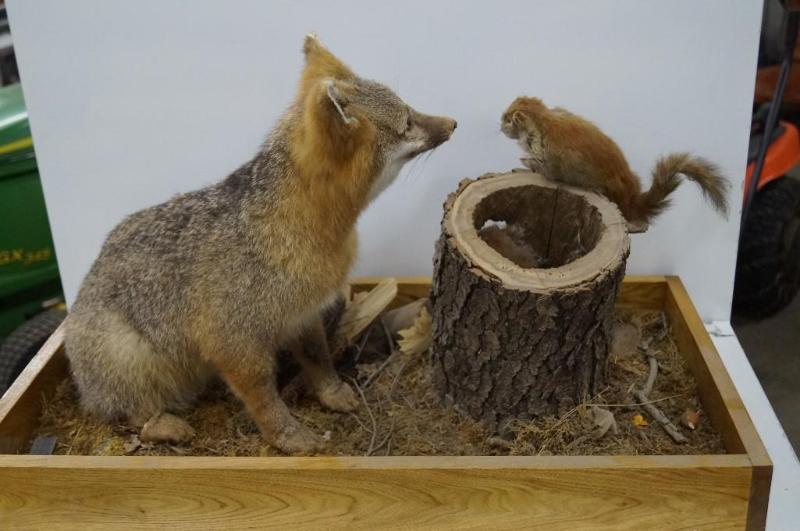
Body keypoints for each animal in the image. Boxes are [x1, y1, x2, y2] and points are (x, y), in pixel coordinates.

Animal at [64, 34, 456, 454]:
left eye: (410, 108)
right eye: (408, 122)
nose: (453, 123)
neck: (301, 232)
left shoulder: (305, 314)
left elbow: (318, 358)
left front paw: (332, 394)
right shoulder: (234, 343)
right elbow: (265, 400)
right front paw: (291, 437)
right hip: (132, 359)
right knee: (129, 414)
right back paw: (165, 426)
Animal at [500, 96, 729, 231]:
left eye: (507, 119)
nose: (501, 127)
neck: (543, 119)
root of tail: (632, 198)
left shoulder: (546, 155)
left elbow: (542, 169)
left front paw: (523, 164)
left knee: (643, 224)